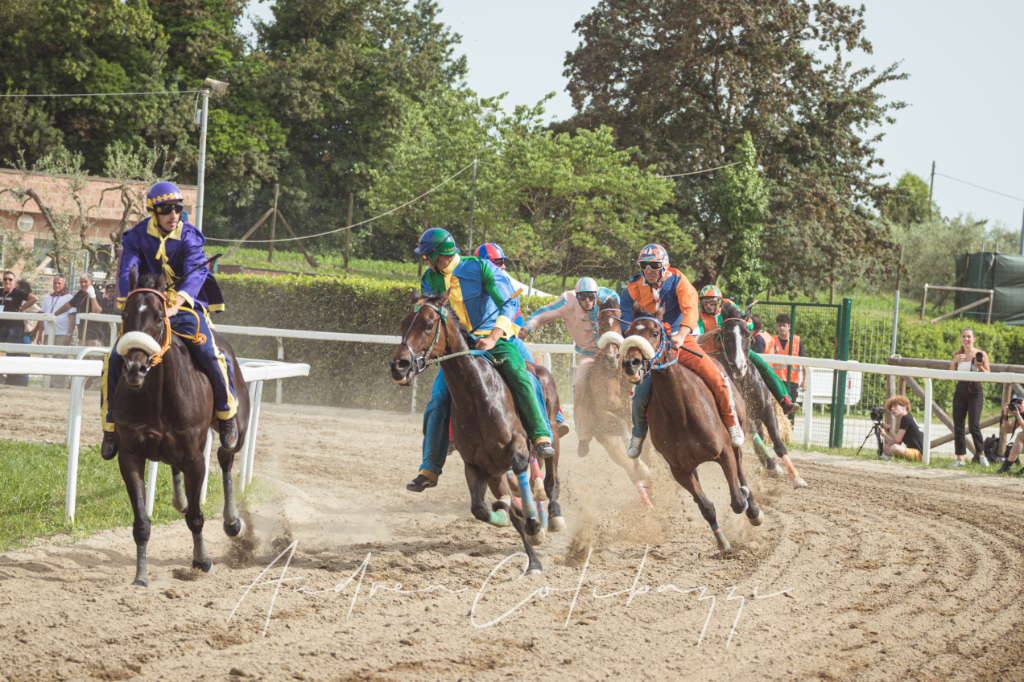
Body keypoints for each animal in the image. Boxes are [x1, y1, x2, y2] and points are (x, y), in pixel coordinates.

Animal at [113, 270, 249, 585]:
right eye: (125, 314)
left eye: (158, 316)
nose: (135, 369)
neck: (158, 396)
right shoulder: (130, 454)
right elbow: (141, 522)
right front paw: (141, 575)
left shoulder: (194, 459)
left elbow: (196, 518)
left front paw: (202, 560)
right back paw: (181, 499)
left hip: (238, 427)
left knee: (225, 456)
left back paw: (232, 521)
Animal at [577, 294, 647, 507]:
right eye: (599, 322)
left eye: (620, 321)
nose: (611, 357)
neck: (615, 375)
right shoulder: (604, 416)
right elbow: (622, 427)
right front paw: (641, 467)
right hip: (607, 441)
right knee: (626, 465)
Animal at [614, 305, 761, 548]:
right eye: (628, 333)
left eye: (655, 332)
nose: (630, 363)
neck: (681, 413)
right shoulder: (678, 469)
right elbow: (706, 507)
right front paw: (721, 541)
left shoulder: (724, 453)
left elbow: (738, 500)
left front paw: (749, 505)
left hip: (736, 434)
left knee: (740, 467)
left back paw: (754, 508)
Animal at [704, 301, 806, 485]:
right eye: (726, 335)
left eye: (746, 333)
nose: (739, 367)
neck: (742, 380)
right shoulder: (740, 414)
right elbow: (754, 436)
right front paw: (772, 465)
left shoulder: (767, 408)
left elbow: (778, 443)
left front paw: (796, 476)